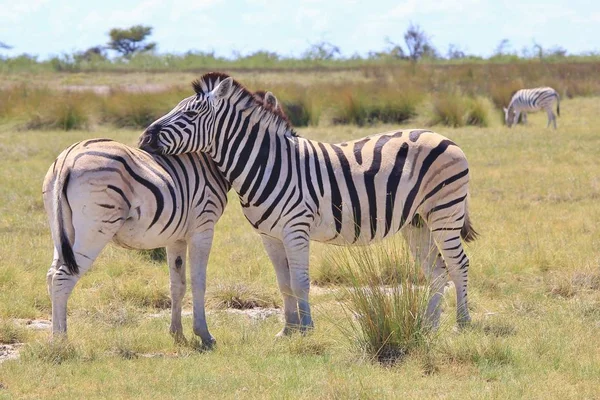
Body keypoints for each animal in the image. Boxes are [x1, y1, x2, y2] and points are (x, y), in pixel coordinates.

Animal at [42, 89, 282, 346]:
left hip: (62, 229)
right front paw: (204, 335)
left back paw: (54, 338)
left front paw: (177, 334)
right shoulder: (202, 226)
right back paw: (61, 342)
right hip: (95, 227)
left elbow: (177, 284)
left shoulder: (175, 236)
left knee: (52, 275)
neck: (210, 162)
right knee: (62, 278)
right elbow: (198, 281)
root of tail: (68, 159)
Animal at [137, 72, 478, 334]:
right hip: (416, 221)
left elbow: (301, 282)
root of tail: (443, 136)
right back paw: (429, 326)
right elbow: (284, 282)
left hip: (444, 212)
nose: (143, 139)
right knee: (436, 270)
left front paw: (308, 328)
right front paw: (288, 330)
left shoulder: (296, 229)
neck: (266, 163)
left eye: (190, 115)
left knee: (458, 264)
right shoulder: (269, 236)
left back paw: (461, 323)